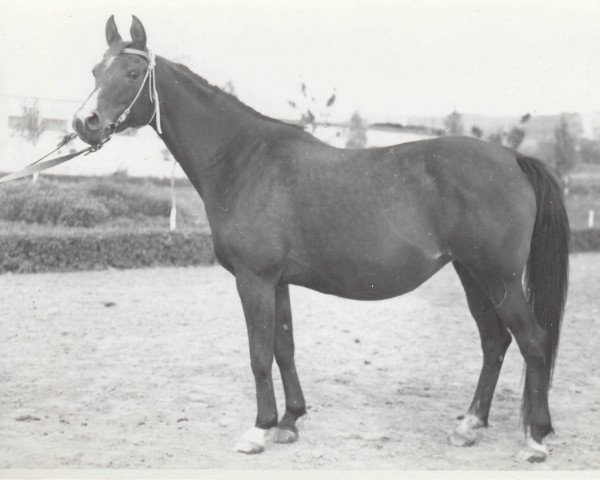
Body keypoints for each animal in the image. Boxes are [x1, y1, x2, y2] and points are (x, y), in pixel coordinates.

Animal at [72, 15, 568, 464]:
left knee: (533, 341)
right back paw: (469, 426)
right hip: (472, 274)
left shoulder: (254, 280)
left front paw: (258, 430)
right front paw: (290, 421)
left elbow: (258, 353)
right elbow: (284, 347)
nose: (85, 122)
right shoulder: (277, 282)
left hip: (498, 277)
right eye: (95, 71)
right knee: (495, 342)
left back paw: (535, 439)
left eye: (132, 74)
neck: (244, 160)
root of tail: (513, 158)